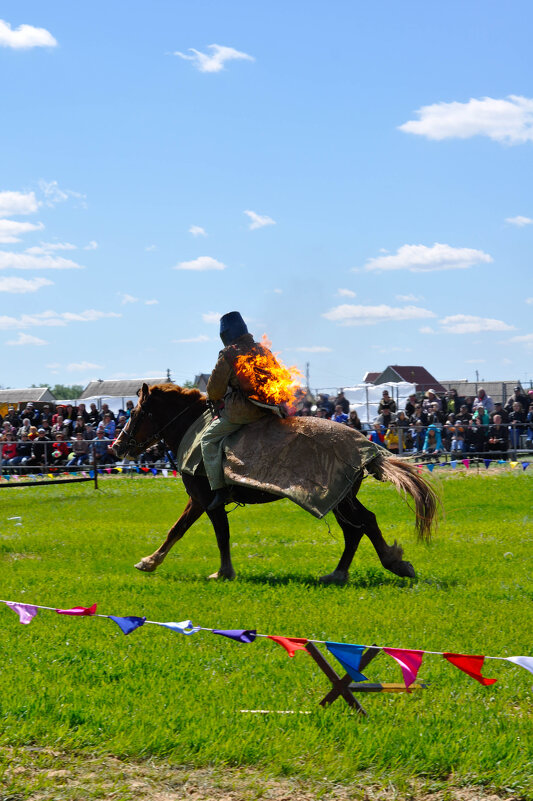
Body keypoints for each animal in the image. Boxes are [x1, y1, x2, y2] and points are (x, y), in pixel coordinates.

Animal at [113, 382, 436, 580]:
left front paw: (220, 571)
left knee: (364, 523)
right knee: (356, 528)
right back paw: (339, 574)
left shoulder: (205, 499)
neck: (194, 430)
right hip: (342, 499)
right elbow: (187, 530)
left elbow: (205, 532)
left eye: (136, 412)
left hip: (341, 499)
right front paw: (153, 560)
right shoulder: (201, 501)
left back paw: (390, 564)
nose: (117, 446)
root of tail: (366, 444)